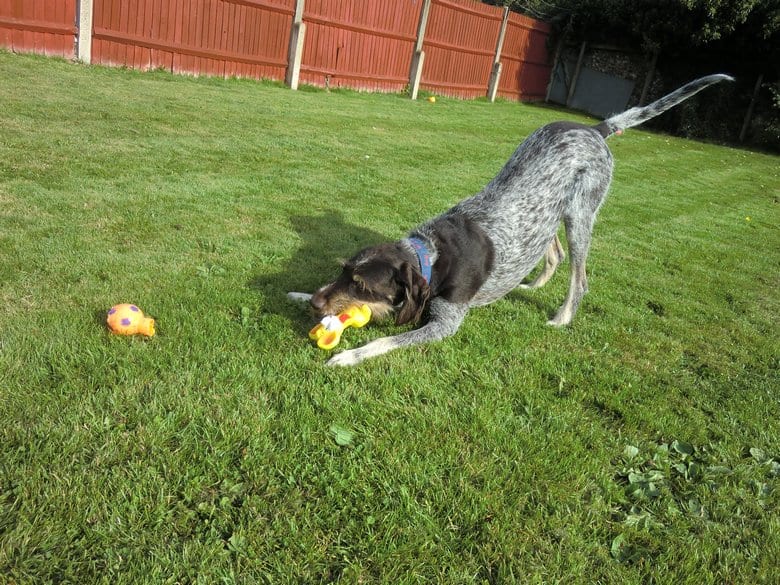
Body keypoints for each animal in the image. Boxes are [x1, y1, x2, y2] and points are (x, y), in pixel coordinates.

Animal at [296, 73, 736, 364]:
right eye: (343, 270)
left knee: (579, 277)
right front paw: (301, 295)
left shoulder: (446, 324)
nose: (316, 302)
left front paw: (348, 355)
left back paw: (562, 317)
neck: (432, 255)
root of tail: (596, 129)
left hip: (580, 217)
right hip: (549, 211)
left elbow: (382, 342)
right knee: (552, 252)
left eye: (360, 284)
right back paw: (530, 285)